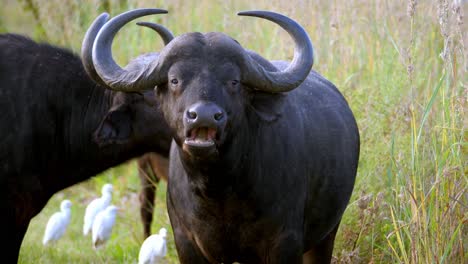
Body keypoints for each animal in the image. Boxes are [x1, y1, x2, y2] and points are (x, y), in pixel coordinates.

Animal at [88, 8, 360, 264]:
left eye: (234, 81)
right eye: (174, 79)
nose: (204, 116)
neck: (219, 191)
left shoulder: (285, 243)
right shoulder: (187, 243)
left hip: (326, 235)